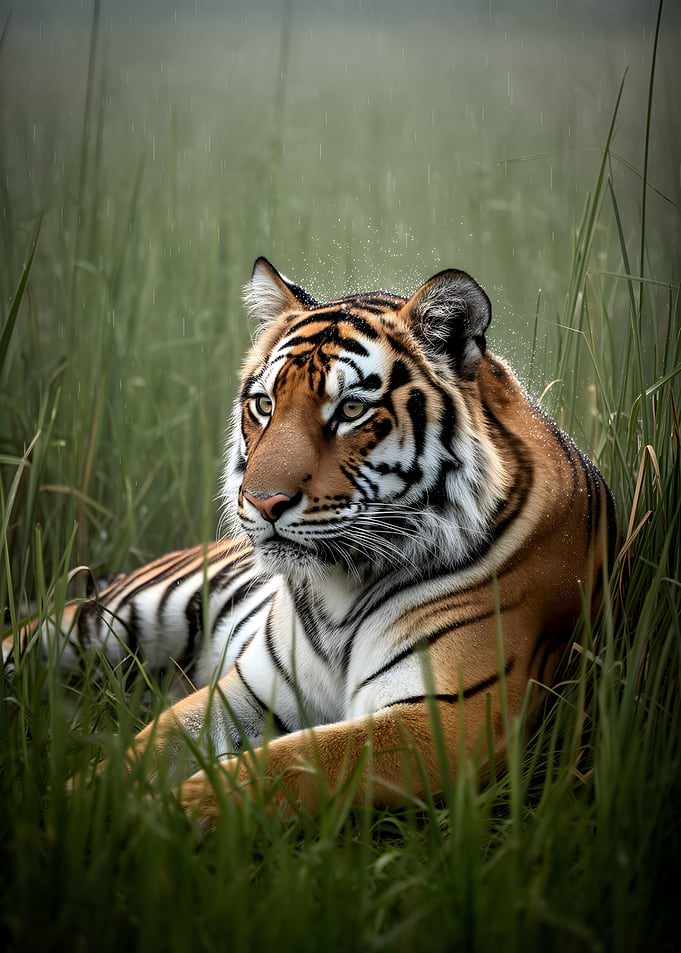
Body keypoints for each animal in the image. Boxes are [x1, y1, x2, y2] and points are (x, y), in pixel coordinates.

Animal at [3, 257, 616, 827]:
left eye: (351, 410)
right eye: (264, 405)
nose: (261, 501)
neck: (339, 591)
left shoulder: (448, 718)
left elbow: (289, 764)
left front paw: (159, 816)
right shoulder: (248, 690)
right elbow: (146, 749)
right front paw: (77, 807)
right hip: (107, 619)